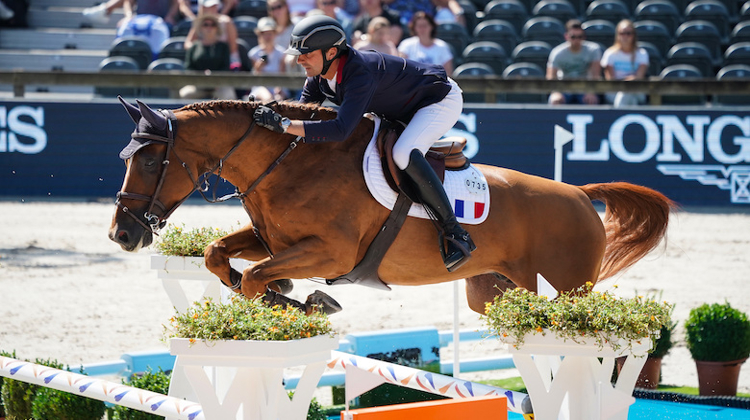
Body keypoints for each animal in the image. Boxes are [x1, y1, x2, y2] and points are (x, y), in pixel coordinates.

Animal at [107, 98, 676, 316]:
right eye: (126, 159)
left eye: (151, 161)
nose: (122, 235)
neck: (288, 163)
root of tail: (579, 194)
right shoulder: (275, 239)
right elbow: (219, 257)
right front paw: (287, 293)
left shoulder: (332, 253)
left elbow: (251, 278)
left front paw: (308, 301)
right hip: (492, 291)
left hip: (571, 287)